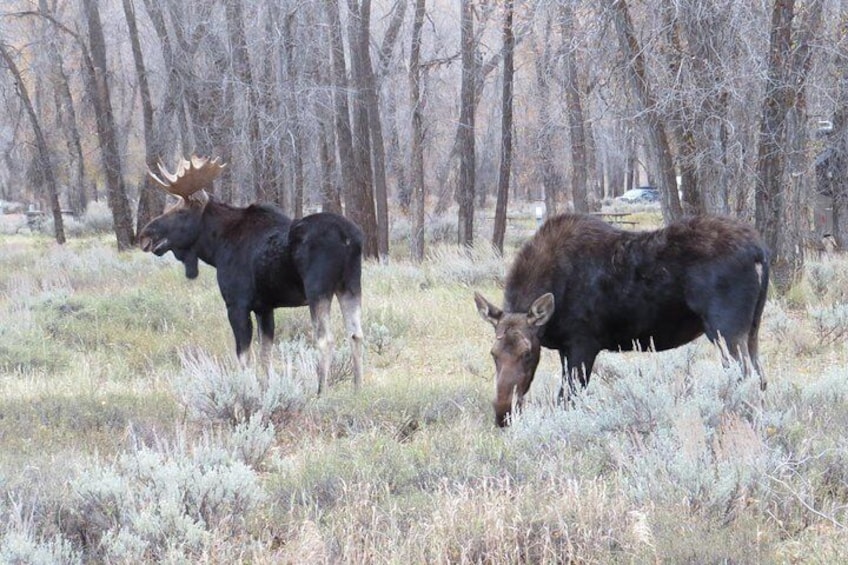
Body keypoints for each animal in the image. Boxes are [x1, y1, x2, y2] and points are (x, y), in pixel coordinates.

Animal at [137, 154, 362, 392]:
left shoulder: (237, 304)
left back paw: (321, 392)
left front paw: (245, 390)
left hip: (318, 290)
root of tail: (350, 238)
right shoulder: (265, 307)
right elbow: (265, 354)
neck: (215, 248)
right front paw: (266, 388)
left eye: (180, 211)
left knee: (325, 339)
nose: (144, 235)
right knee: (355, 333)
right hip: (350, 285)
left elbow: (244, 356)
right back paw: (358, 389)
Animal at [474, 214, 772, 426]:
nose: (503, 414)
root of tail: (760, 252)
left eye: (527, 353)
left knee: (745, 379)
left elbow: (567, 398)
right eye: (493, 354)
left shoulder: (584, 343)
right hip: (751, 329)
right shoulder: (565, 348)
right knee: (760, 378)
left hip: (725, 329)